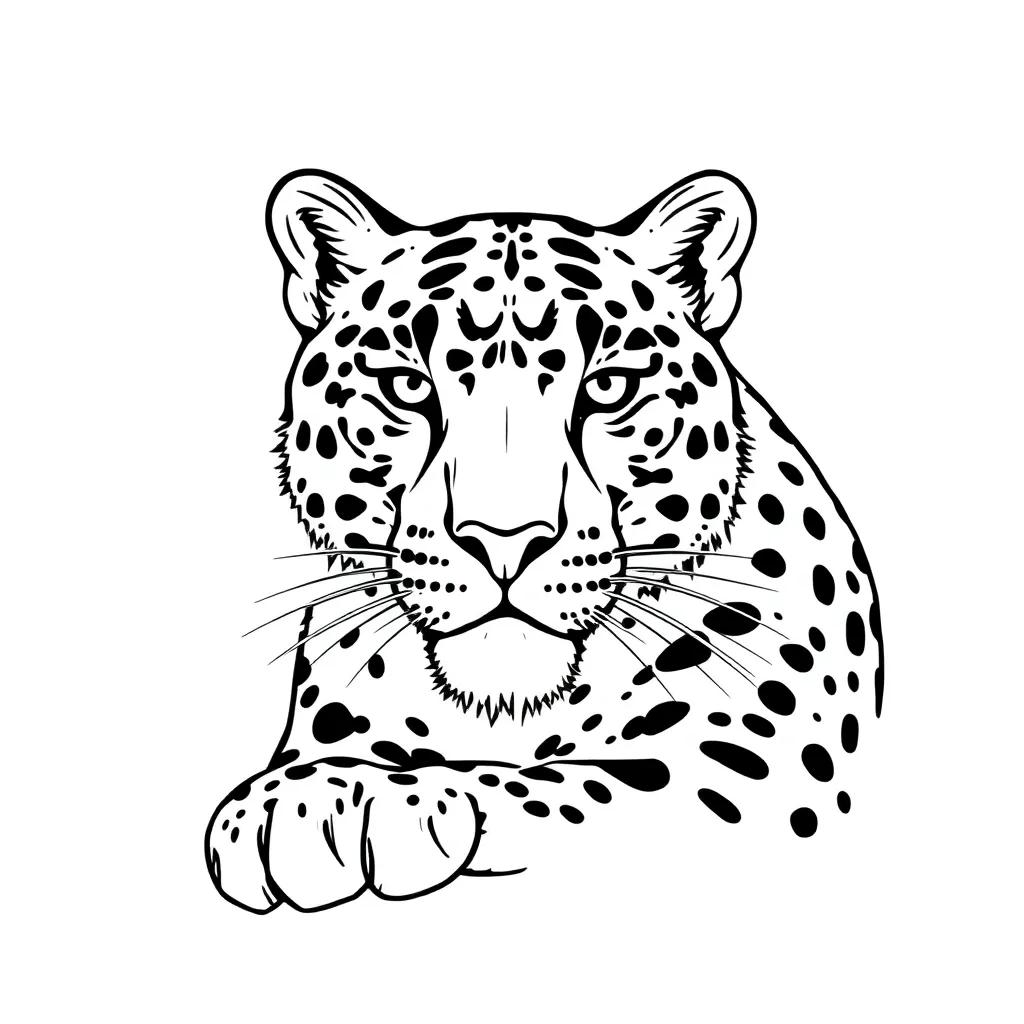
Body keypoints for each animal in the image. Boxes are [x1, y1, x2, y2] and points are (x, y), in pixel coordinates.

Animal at [205, 169, 884, 913]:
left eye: (610, 387)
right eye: (407, 386)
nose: (504, 540)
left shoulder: (756, 771)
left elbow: (578, 783)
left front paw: (341, 802)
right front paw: (308, 797)